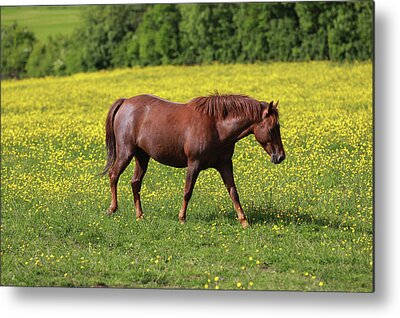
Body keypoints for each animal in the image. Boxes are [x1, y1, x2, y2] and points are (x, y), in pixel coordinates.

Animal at [102, 93, 284, 227]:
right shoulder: (193, 164)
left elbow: (233, 192)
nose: (281, 156)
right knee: (114, 175)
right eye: (272, 128)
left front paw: (244, 221)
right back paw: (112, 208)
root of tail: (125, 102)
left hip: (142, 156)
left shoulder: (225, 165)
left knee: (135, 183)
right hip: (126, 152)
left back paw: (139, 215)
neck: (216, 126)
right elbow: (187, 191)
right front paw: (182, 218)